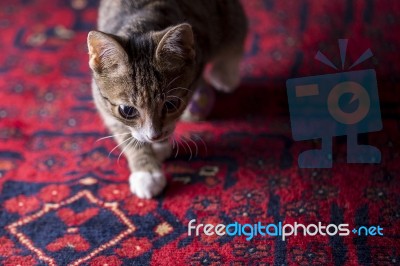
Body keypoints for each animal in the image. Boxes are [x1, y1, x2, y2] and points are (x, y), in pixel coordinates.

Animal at [87, 0, 247, 197]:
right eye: (127, 110)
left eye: (171, 104)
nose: (154, 136)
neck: (141, 24)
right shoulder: (101, 101)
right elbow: (125, 134)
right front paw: (146, 171)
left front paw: (160, 146)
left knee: (235, 33)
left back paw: (225, 75)